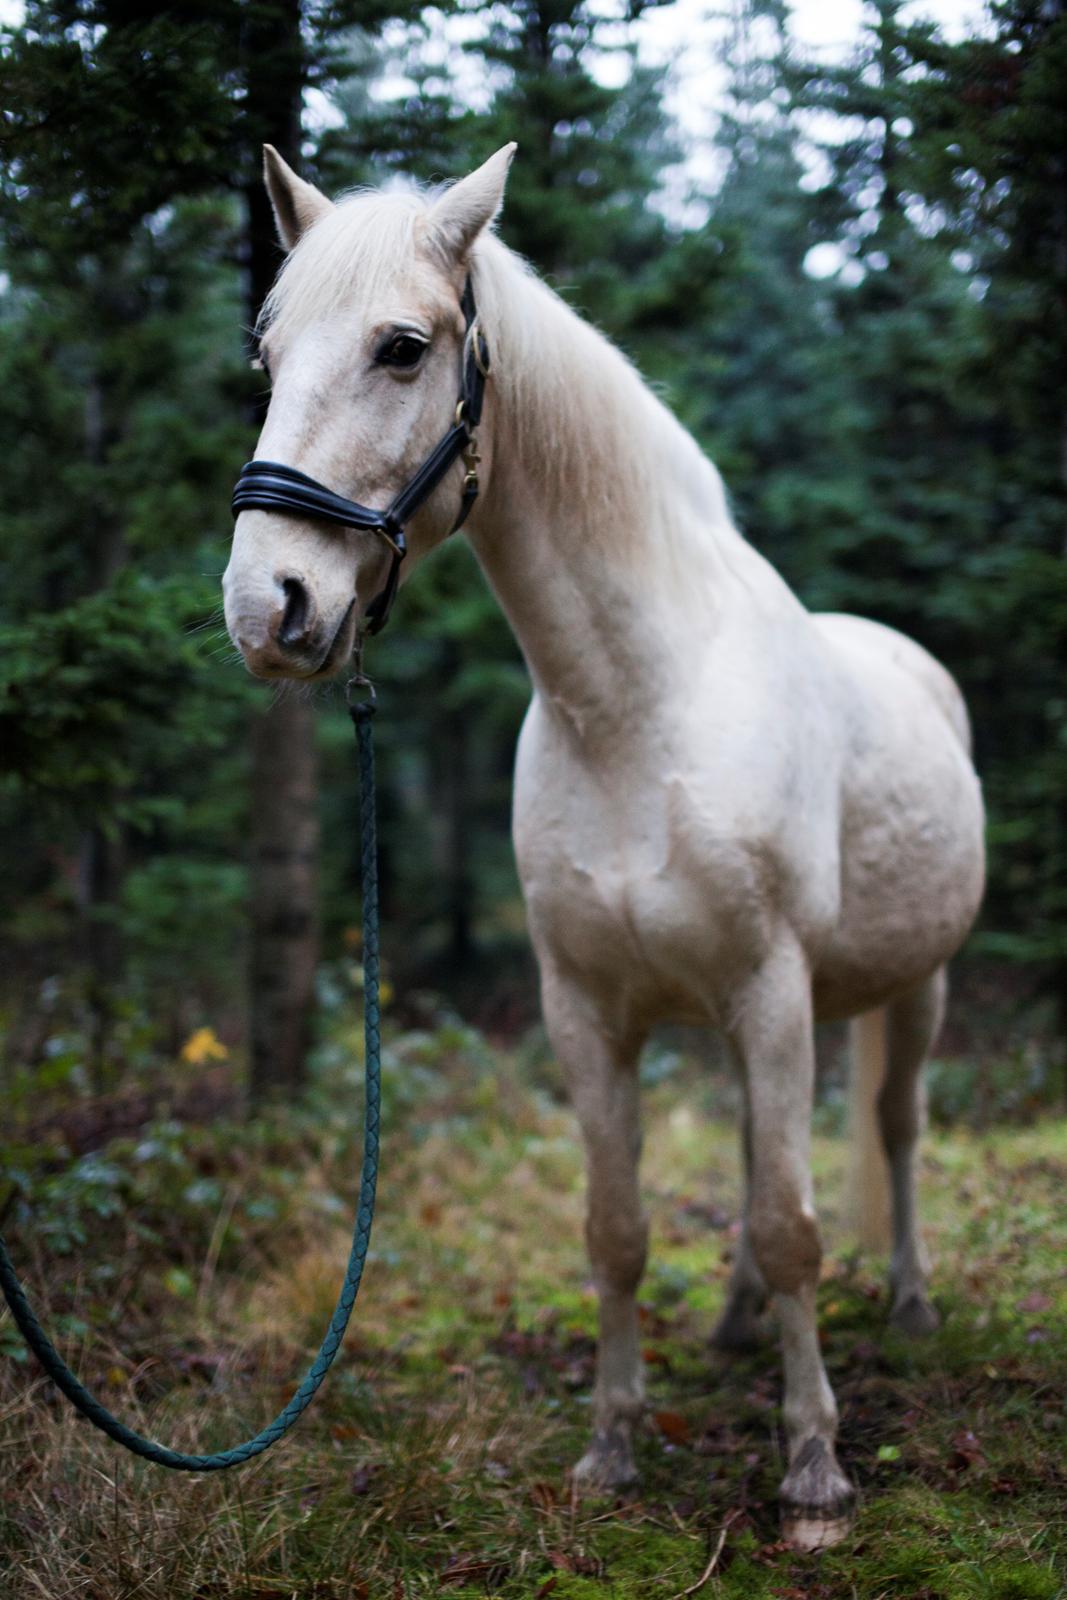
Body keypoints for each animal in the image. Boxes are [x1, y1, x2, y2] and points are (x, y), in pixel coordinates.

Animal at [223, 147, 985, 1548]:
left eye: (402, 347)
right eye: (267, 351)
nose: (269, 608)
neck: (636, 706)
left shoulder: (772, 990)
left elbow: (794, 1224)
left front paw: (812, 1469)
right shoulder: (585, 1009)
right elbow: (618, 1226)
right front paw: (612, 1446)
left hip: (911, 987)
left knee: (894, 1132)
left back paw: (905, 1308)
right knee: (754, 1150)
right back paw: (736, 1325)